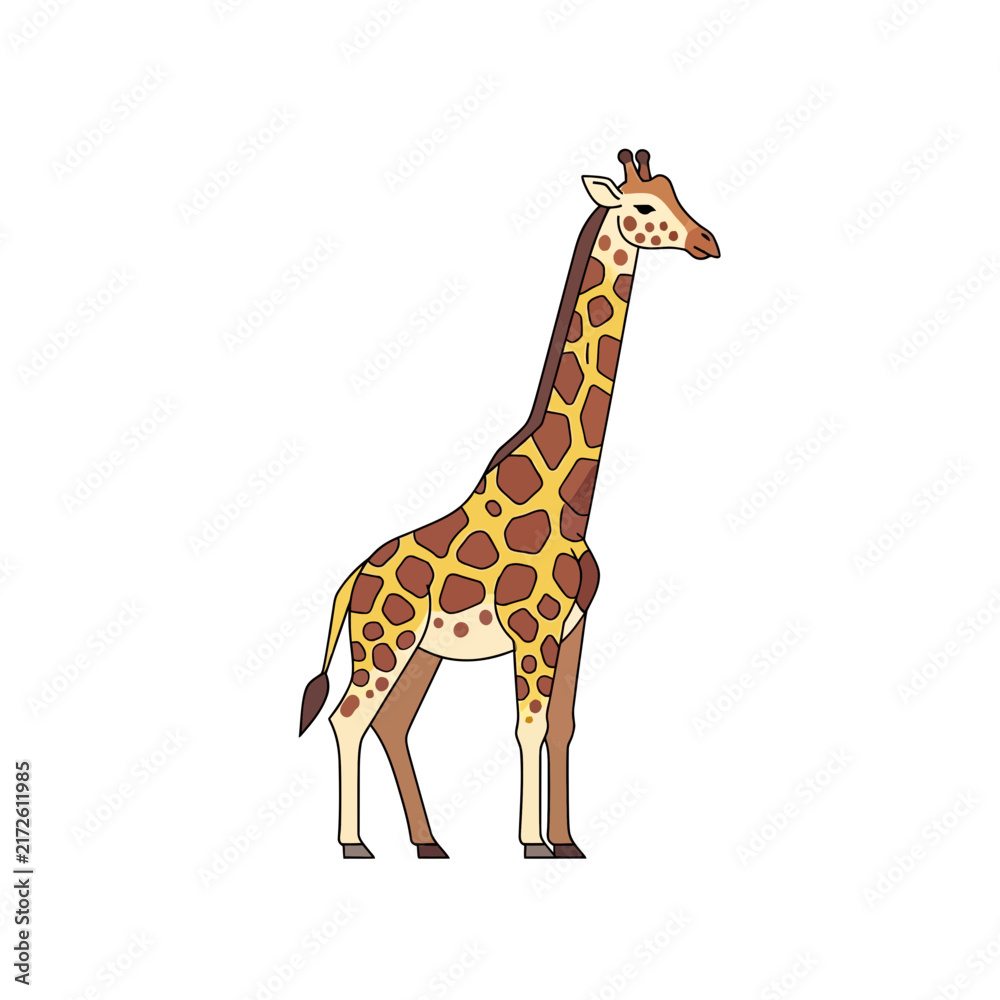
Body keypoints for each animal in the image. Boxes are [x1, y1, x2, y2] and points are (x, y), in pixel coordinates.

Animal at [299, 148, 720, 859]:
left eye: (677, 196)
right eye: (642, 207)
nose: (707, 242)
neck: (572, 498)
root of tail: (351, 582)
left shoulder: (574, 626)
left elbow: (563, 726)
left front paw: (568, 841)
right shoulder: (534, 627)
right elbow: (528, 727)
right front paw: (531, 842)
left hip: (423, 652)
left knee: (392, 723)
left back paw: (429, 843)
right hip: (383, 642)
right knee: (349, 718)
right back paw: (355, 844)